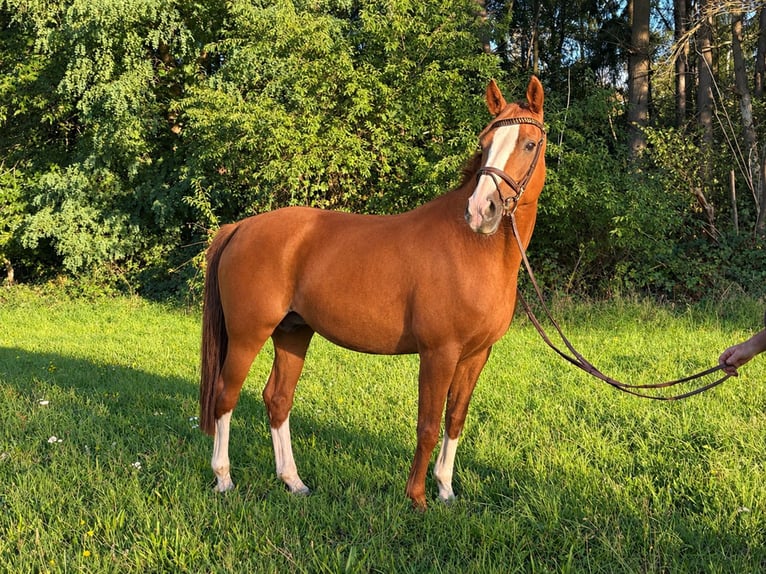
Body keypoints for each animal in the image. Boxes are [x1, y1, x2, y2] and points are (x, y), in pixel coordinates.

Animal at [199, 76, 547, 509]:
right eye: (484, 144)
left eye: (529, 144)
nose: (482, 210)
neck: (472, 249)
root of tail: (241, 227)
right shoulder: (439, 353)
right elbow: (427, 424)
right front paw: (417, 497)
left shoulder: (476, 355)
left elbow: (455, 419)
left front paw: (446, 490)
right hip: (248, 335)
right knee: (225, 396)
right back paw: (223, 478)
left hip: (293, 333)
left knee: (278, 399)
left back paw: (293, 481)